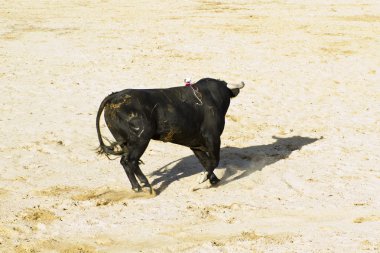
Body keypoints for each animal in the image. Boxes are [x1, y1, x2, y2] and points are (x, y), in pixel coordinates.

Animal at [95, 78, 243, 193]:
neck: (213, 98)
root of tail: (114, 96)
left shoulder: (196, 144)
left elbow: (206, 162)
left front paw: (212, 180)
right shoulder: (213, 138)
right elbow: (214, 160)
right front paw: (201, 179)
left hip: (125, 142)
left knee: (127, 161)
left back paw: (138, 187)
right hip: (141, 139)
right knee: (130, 161)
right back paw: (145, 186)